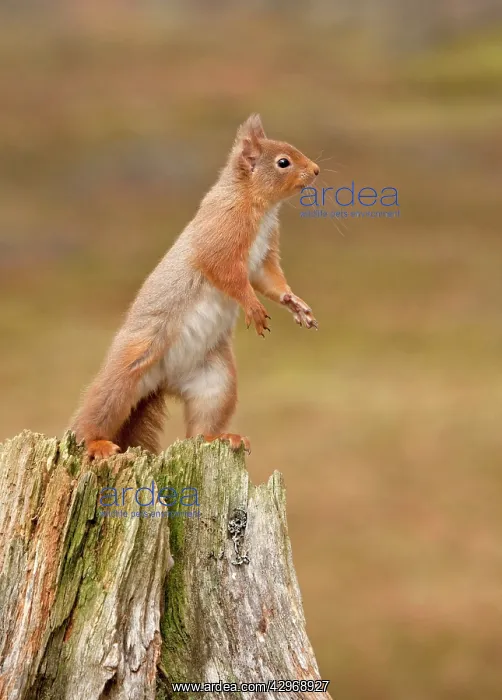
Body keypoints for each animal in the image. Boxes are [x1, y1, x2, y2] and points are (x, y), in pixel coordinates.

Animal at [71, 114, 319, 459]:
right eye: (283, 162)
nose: (316, 170)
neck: (256, 204)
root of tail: (164, 382)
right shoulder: (220, 237)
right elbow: (228, 276)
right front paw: (254, 308)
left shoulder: (263, 258)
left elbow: (269, 281)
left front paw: (295, 303)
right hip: (126, 371)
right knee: (95, 412)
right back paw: (96, 442)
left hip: (216, 382)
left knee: (202, 428)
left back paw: (223, 437)